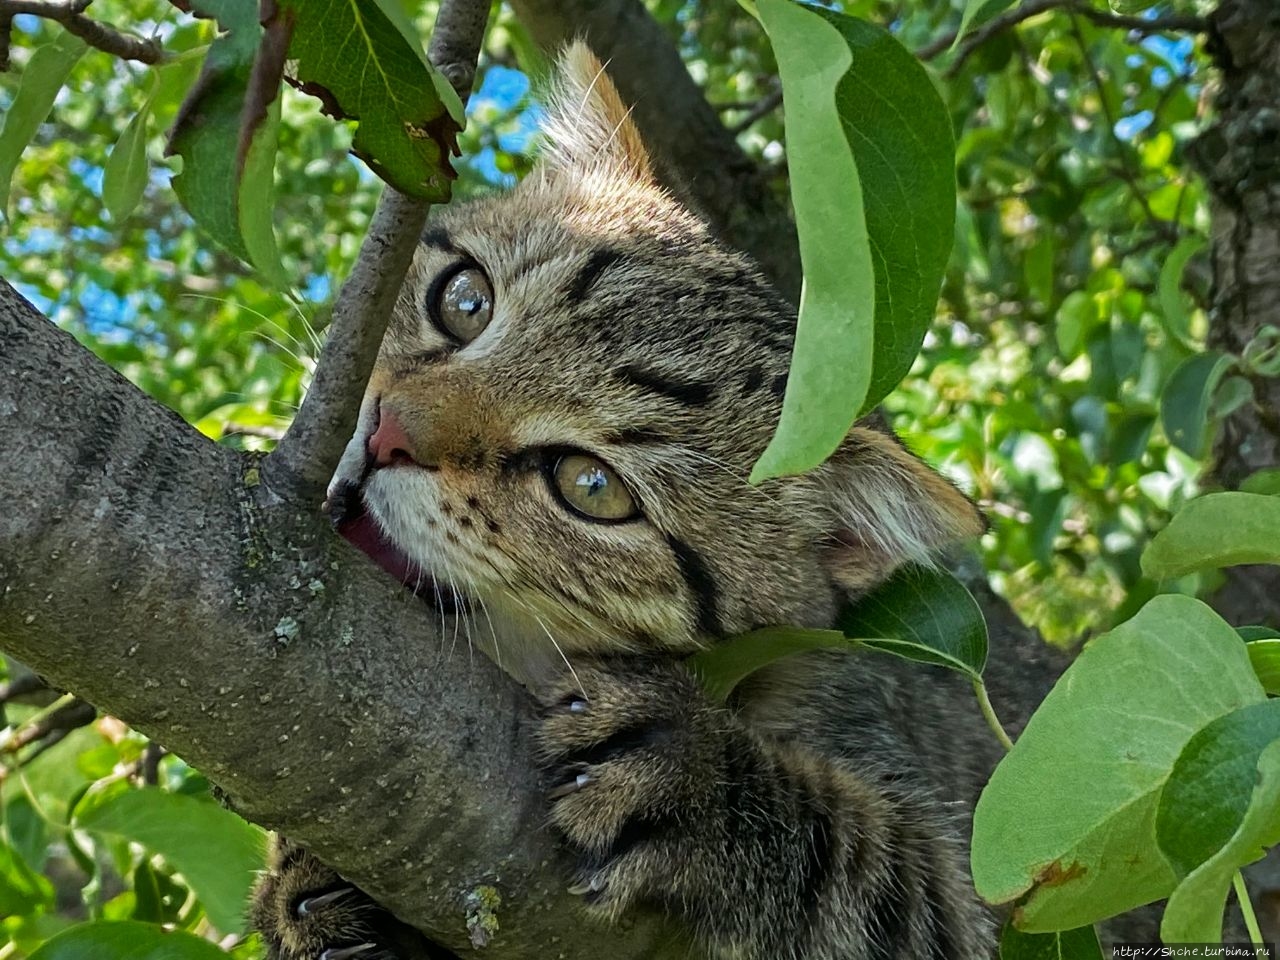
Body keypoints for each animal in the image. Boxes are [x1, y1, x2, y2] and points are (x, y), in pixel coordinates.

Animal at [254, 43, 1003, 960]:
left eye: (591, 486)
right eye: (464, 300)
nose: (388, 430)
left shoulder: (975, 889)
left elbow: (868, 873)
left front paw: (694, 779)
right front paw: (308, 892)